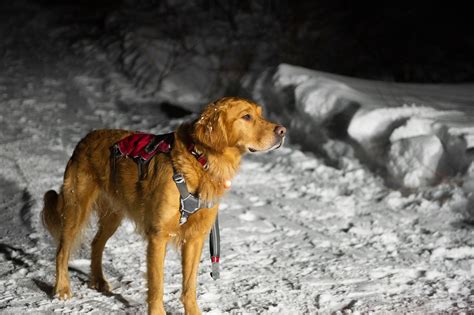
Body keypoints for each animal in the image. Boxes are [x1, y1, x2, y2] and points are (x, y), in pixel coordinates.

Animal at [41, 97, 286, 314]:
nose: (283, 131)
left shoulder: (195, 238)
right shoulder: (158, 236)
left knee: (96, 244)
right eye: (246, 116)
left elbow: (189, 286)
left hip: (113, 214)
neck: (200, 160)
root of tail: (85, 139)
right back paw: (62, 289)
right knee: (62, 252)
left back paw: (98, 280)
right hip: (76, 209)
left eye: (260, 114)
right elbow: (157, 285)